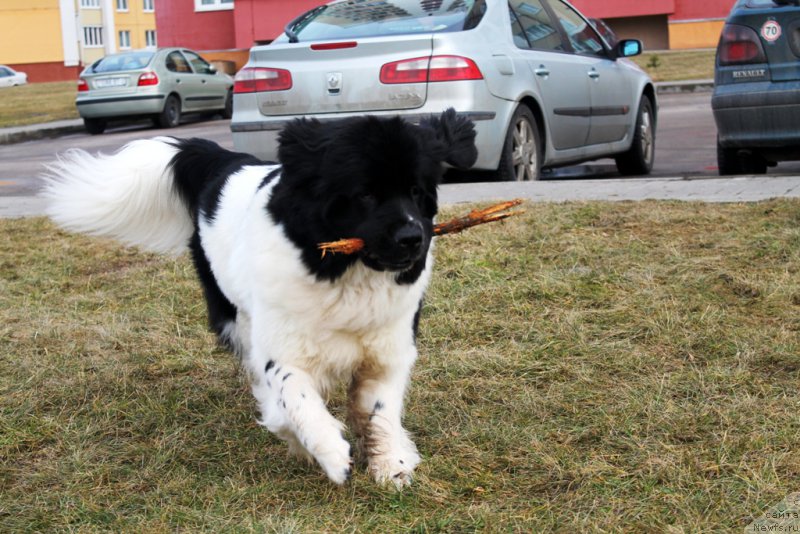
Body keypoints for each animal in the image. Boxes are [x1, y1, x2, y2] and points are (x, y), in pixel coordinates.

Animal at [40, 110, 478, 490]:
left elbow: (379, 412)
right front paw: (331, 454)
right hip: (235, 315)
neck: (343, 273)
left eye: (417, 191)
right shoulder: (283, 348)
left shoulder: (388, 350)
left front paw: (392, 462)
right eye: (365, 194)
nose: (412, 238)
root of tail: (225, 158)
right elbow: (296, 397)